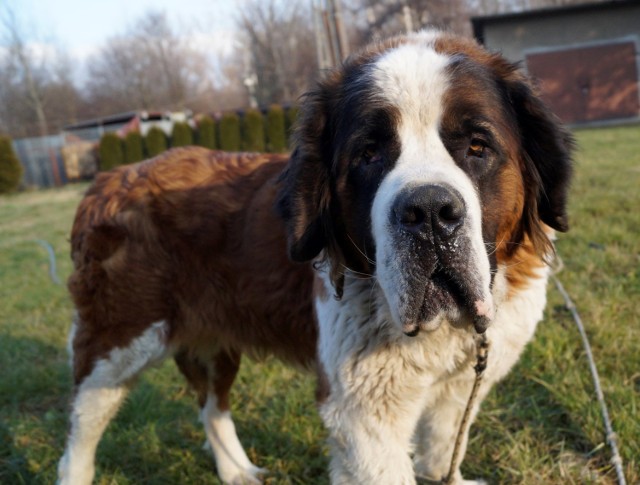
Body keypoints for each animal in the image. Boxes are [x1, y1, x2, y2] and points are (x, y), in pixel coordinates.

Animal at [58, 31, 568, 484]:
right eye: (368, 154)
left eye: (477, 147)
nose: (428, 213)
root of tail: (111, 178)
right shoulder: (364, 412)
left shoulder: (459, 388)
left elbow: (443, 450)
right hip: (119, 342)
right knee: (83, 426)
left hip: (216, 341)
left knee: (211, 407)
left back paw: (236, 470)